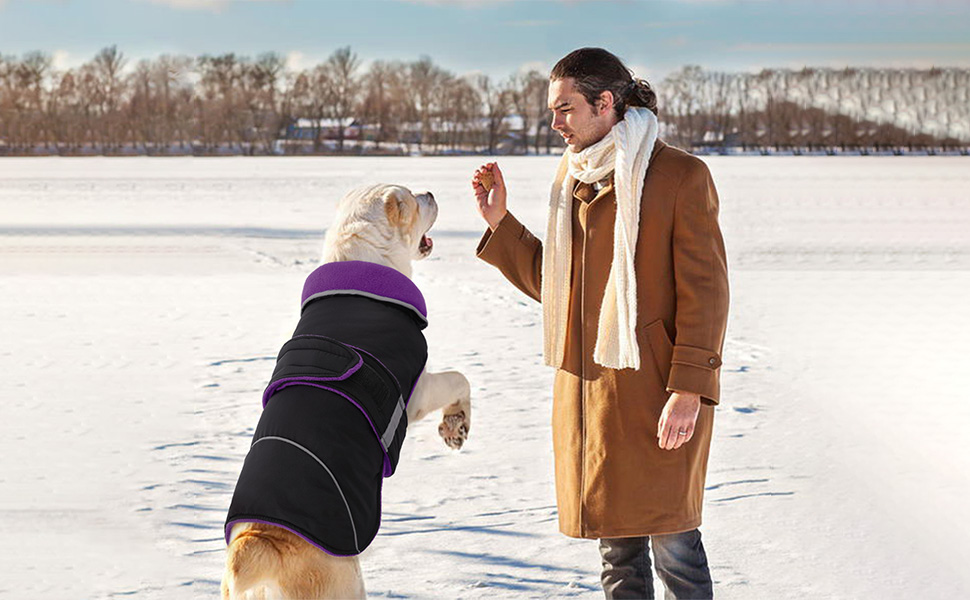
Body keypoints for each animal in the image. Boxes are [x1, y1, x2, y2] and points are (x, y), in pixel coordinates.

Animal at [223, 184, 472, 600]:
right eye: (412, 198)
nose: (430, 192)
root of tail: (262, 541)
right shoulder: (418, 390)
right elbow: (460, 379)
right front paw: (455, 427)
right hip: (346, 582)